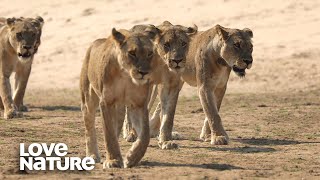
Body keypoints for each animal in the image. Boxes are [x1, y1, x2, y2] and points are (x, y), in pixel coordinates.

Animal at [79, 27, 165, 168]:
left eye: (149, 53)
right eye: (132, 53)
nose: (143, 72)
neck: (126, 75)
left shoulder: (138, 104)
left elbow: (145, 135)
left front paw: (132, 158)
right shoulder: (106, 103)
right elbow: (109, 134)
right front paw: (113, 160)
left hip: (119, 107)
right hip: (88, 99)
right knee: (89, 126)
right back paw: (92, 155)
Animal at [122, 21, 198, 150]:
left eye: (183, 43)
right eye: (166, 44)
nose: (177, 60)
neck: (162, 62)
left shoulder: (171, 85)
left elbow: (168, 115)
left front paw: (166, 141)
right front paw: (136, 135)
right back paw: (129, 133)